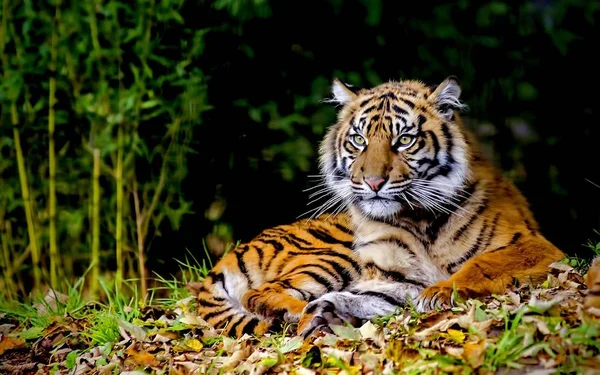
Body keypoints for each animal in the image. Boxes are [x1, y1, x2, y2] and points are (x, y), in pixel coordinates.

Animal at [193, 75, 568, 338]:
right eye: (359, 140)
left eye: (404, 140)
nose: (373, 182)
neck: (419, 220)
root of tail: (231, 254)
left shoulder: (535, 246)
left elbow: (480, 265)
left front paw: (438, 293)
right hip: (334, 253)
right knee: (260, 293)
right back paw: (296, 312)